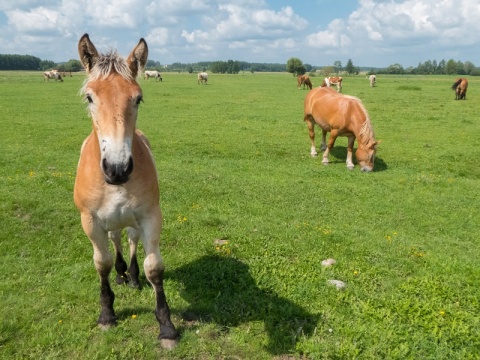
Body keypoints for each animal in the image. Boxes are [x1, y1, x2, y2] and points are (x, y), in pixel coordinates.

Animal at [74, 33, 179, 348]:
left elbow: (154, 267)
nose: (117, 168)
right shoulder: (90, 222)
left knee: (130, 240)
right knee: (116, 241)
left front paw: (167, 326)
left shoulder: (150, 217)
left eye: (138, 98)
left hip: (132, 220)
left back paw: (131, 276)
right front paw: (107, 313)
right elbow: (102, 263)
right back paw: (121, 275)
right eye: (90, 97)